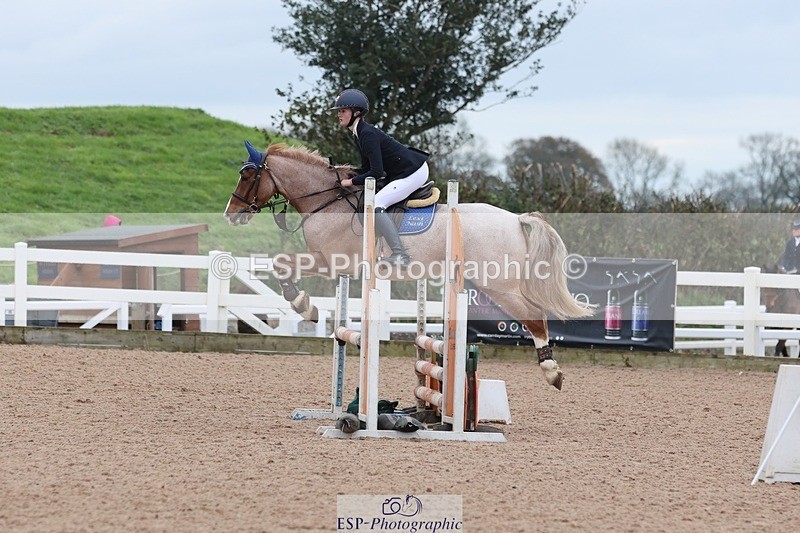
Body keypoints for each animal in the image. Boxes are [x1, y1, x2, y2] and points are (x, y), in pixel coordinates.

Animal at [224, 141, 594, 389]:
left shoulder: (330, 263)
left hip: (498, 284)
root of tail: (516, 218)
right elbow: (282, 265)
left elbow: (282, 265)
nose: (231, 214)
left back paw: (552, 371)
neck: (327, 201)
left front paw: (305, 306)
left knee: (534, 315)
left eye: (247, 176)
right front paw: (306, 306)